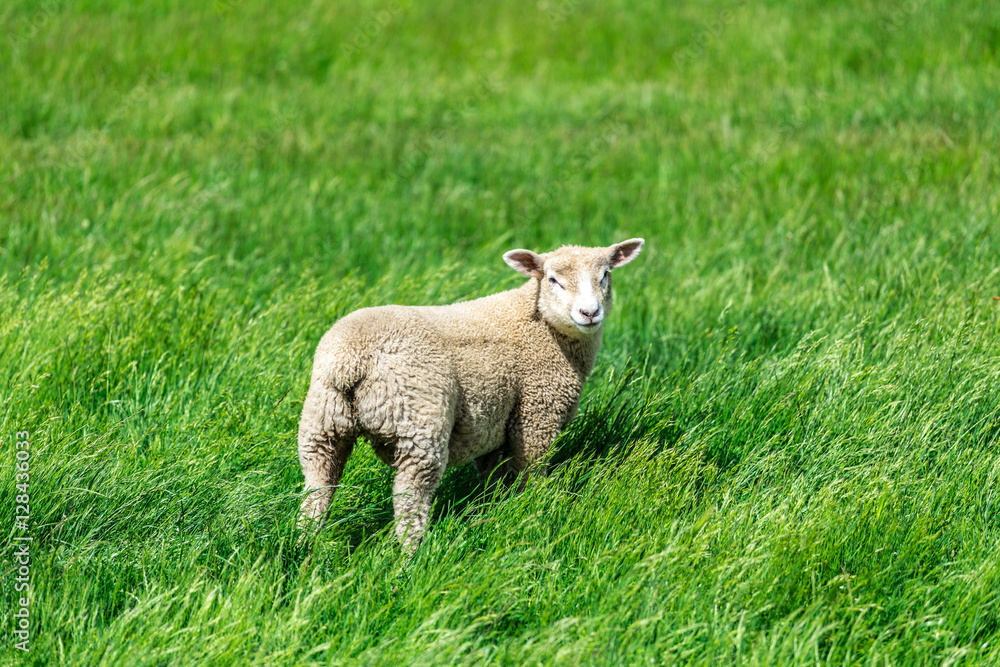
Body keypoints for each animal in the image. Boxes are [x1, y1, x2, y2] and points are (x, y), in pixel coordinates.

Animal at [296, 238, 645, 550]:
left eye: (605, 275)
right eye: (553, 279)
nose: (590, 313)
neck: (541, 325)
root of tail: (351, 359)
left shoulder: (492, 421)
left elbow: (491, 477)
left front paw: (493, 509)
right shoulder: (537, 413)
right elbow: (530, 473)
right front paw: (531, 511)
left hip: (322, 423)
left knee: (317, 489)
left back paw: (305, 545)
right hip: (419, 423)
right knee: (410, 499)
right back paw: (411, 557)